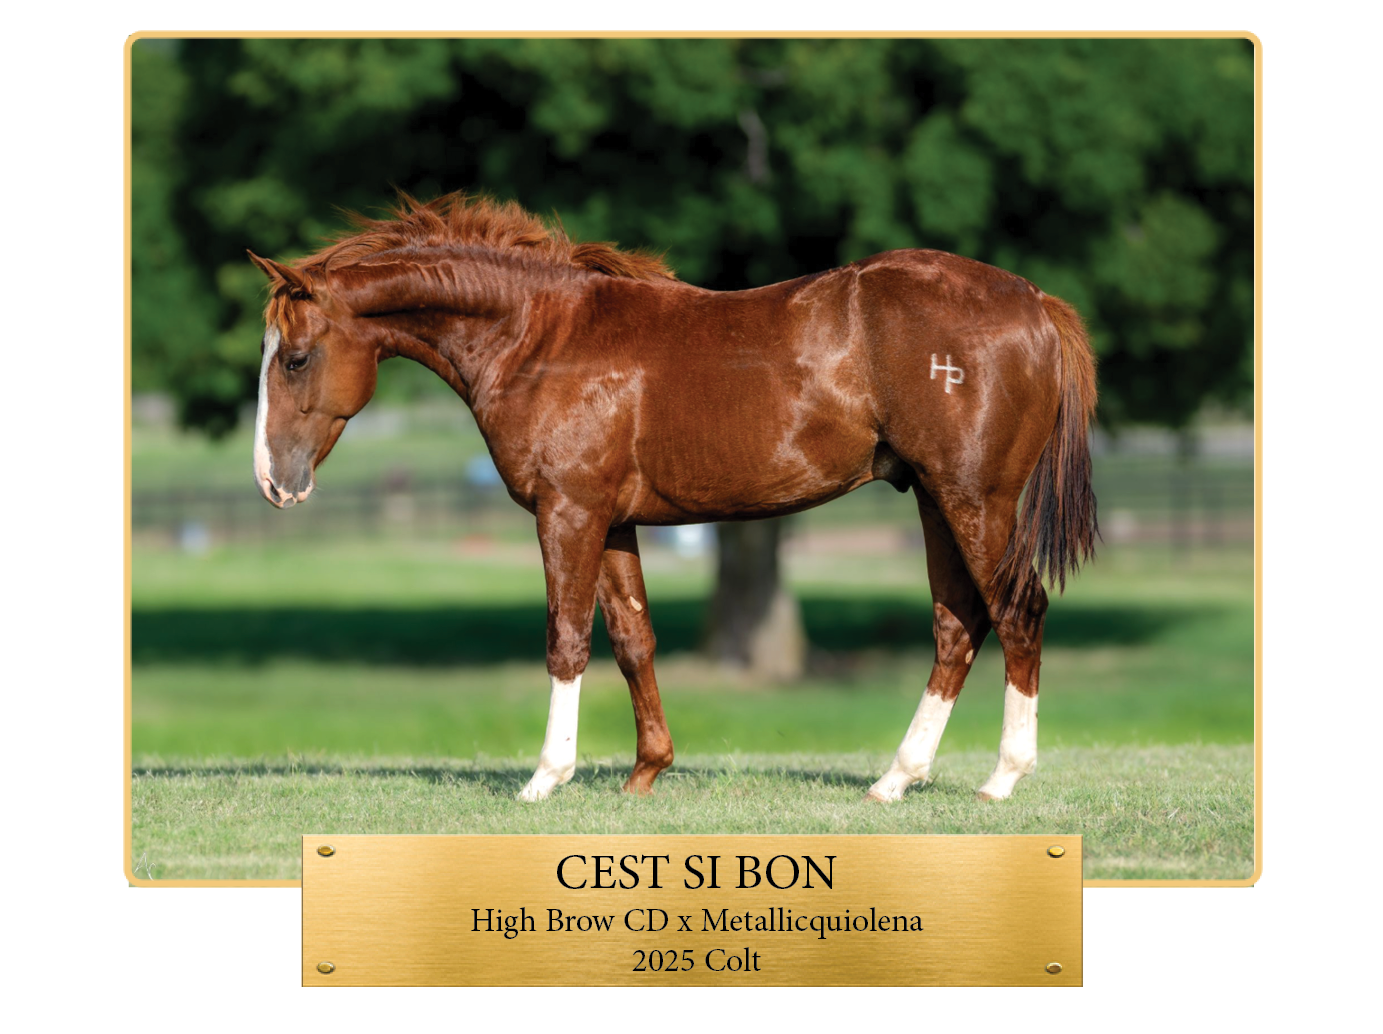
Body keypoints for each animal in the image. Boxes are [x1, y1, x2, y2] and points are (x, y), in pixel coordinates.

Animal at [248, 191, 1098, 803]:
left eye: (294, 359)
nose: (272, 482)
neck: (542, 339)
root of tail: (1031, 300)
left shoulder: (568, 515)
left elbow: (566, 640)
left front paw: (545, 778)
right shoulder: (613, 522)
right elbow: (633, 639)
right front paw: (645, 771)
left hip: (975, 500)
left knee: (1016, 613)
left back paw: (1001, 778)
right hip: (934, 499)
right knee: (957, 627)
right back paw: (894, 779)